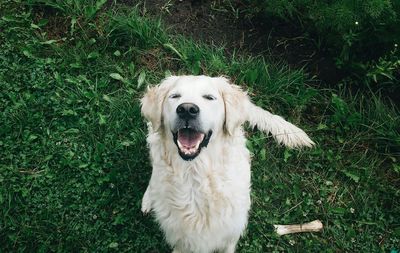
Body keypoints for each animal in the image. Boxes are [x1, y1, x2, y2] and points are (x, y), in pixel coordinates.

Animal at [140, 75, 312, 253]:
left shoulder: (230, 235)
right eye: (174, 96)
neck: (195, 175)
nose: (187, 109)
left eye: (209, 97)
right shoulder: (181, 239)